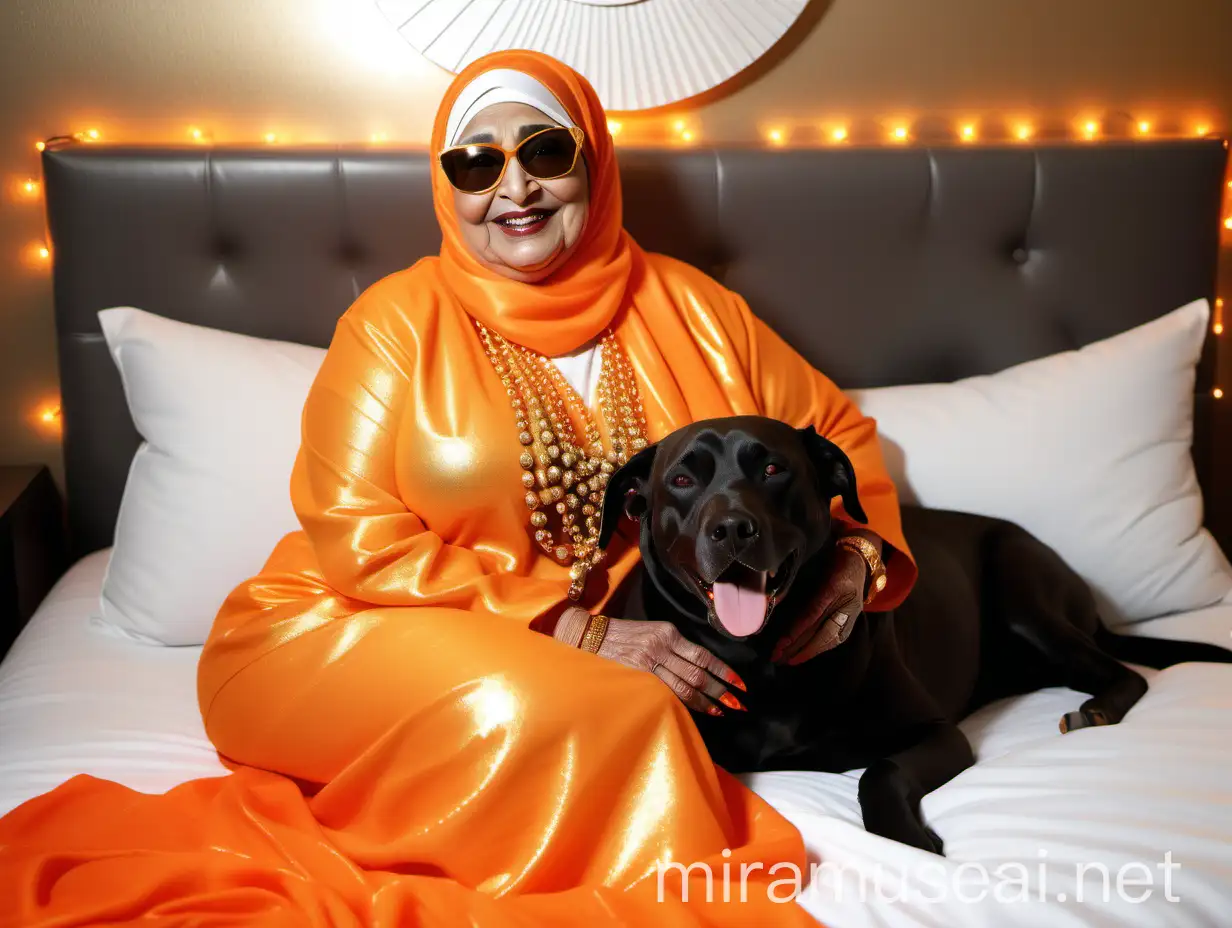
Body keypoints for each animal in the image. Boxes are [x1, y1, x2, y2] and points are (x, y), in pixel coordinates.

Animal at [596, 416, 1232, 852]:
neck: (759, 656)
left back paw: (1097, 710)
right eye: (682, 479)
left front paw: (905, 839)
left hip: (1026, 599)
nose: (732, 528)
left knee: (1122, 671)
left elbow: (882, 771)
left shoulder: (938, 733)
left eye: (774, 469)